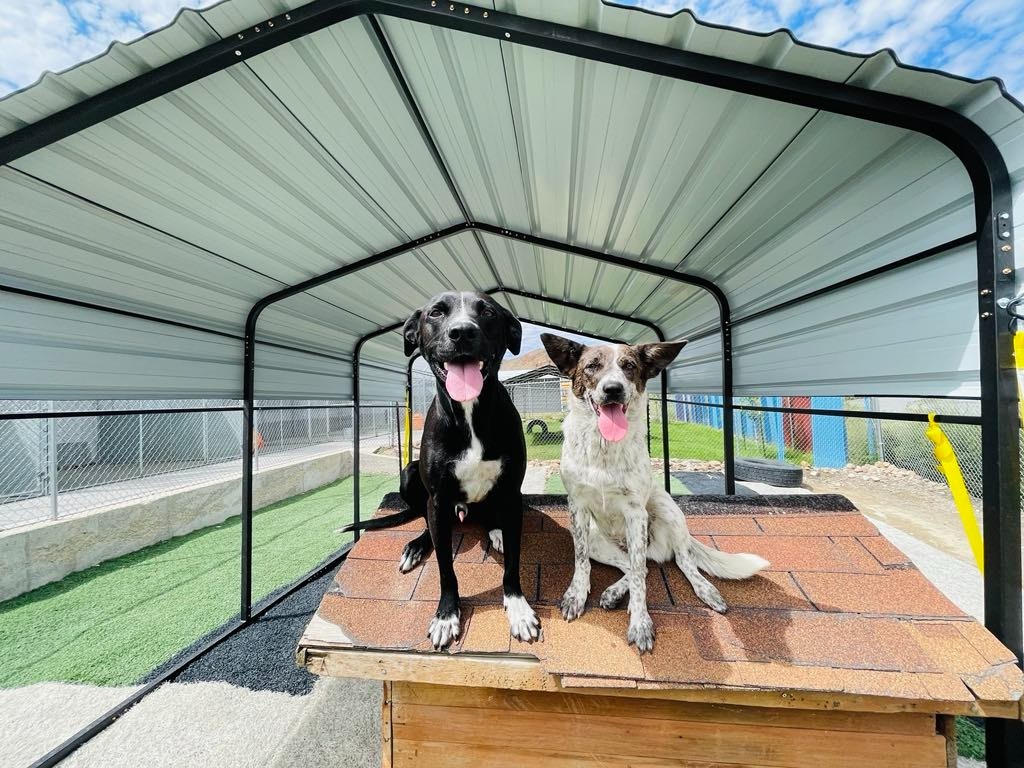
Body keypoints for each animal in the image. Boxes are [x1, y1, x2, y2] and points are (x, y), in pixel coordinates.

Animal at [346, 292, 540, 651]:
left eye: (488, 311)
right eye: (436, 313)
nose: (462, 332)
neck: (470, 412)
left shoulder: (511, 493)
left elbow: (513, 563)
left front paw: (518, 608)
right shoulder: (436, 499)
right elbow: (446, 571)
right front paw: (446, 615)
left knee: (491, 519)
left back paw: (495, 530)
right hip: (410, 476)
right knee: (427, 521)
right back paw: (418, 546)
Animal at [544, 335, 770, 655]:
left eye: (629, 366)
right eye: (592, 366)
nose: (613, 389)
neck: (604, 445)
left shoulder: (635, 512)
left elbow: (641, 577)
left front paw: (640, 623)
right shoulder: (577, 508)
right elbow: (581, 561)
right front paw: (577, 595)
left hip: (668, 511)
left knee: (674, 562)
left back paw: (705, 590)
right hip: (598, 540)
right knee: (636, 566)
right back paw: (613, 593)